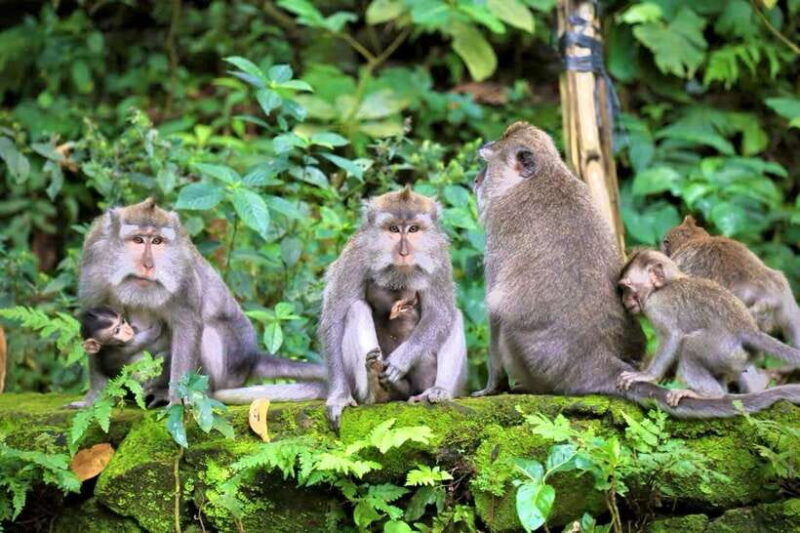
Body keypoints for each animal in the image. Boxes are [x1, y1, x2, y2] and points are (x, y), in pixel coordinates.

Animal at [78, 198, 327, 406]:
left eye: (157, 241)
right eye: (138, 240)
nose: (148, 265)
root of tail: (250, 359)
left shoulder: (184, 272)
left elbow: (188, 325)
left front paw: (176, 401)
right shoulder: (93, 261)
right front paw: (93, 399)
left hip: (228, 369)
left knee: (207, 333)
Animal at [319, 187, 468, 430]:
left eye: (413, 229)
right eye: (394, 229)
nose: (404, 252)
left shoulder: (439, 259)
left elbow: (441, 312)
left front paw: (400, 361)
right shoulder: (355, 257)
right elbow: (335, 320)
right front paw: (339, 395)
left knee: (454, 316)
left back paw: (438, 391)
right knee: (356, 309)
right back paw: (375, 389)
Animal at [617, 250, 800, 405]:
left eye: (627, 288)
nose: (624, 301)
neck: (665, 285)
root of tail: (749, 330)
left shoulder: (657, 307)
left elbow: (672, 336)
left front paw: (646, 376)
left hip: (723, 348)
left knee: (689, 345)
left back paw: (709, 394)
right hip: (734, 359)